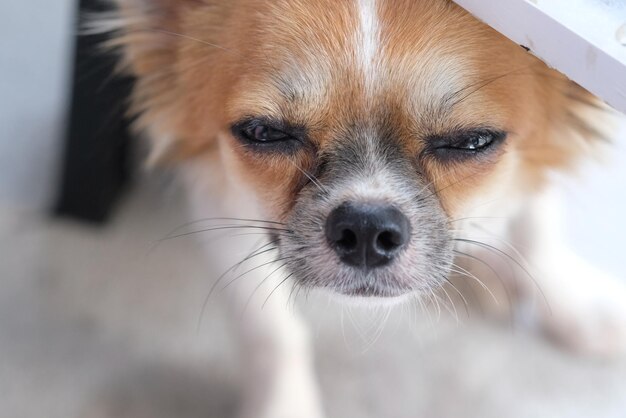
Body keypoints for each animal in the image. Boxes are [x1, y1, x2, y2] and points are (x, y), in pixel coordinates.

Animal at [98, 1, 626, 416]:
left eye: (471, 141)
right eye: (264, 133)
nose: (367, 229)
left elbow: (538, 220)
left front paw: (574, 308)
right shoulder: (219, 204)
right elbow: (269, 332)